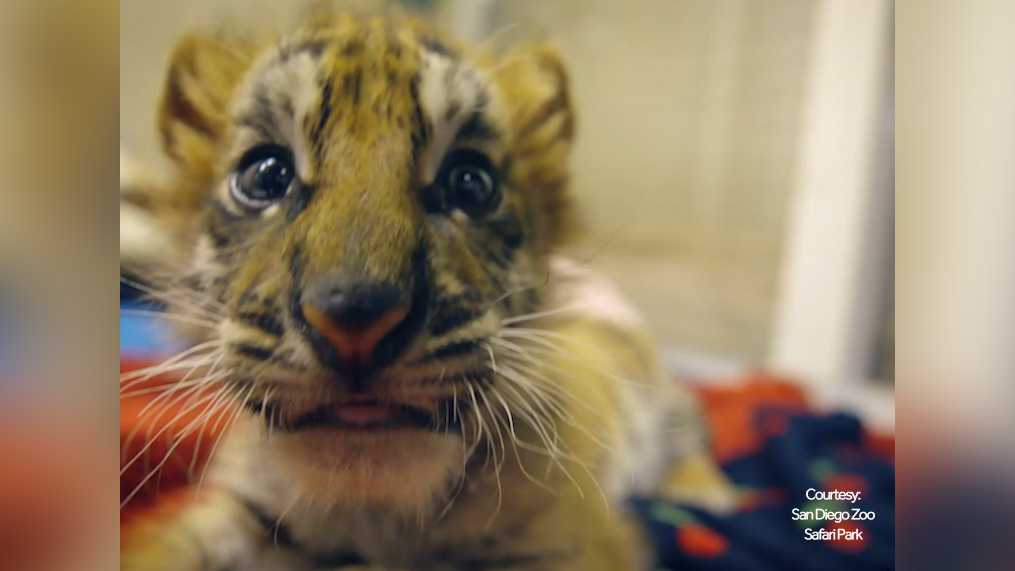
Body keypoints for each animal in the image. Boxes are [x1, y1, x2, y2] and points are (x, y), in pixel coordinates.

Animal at [121, 11, 733, 571]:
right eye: (266, 175)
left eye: (471, 183)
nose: (354, 317)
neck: (374, 512)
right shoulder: (237, 511)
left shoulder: (573, 539)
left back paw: (710, 494)